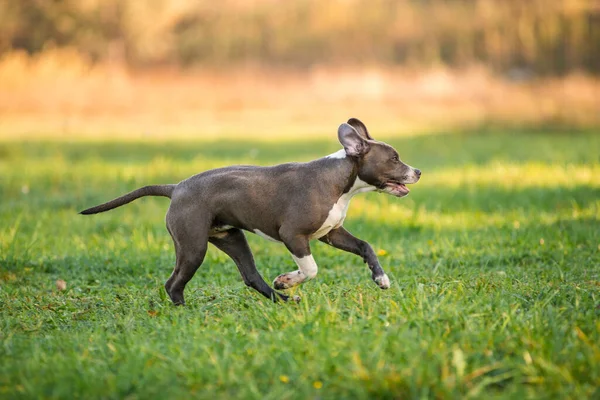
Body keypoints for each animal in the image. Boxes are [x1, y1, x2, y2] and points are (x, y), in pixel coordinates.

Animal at [81, 118, 422, 304]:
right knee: (173, 283)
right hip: (193, 247)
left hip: (232, 238)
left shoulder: (331, 233)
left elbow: (366, 246)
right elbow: (311, 269)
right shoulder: (294, 235)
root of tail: (176, 187)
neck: (341, 181)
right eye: (394, 158)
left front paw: (381, 278)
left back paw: (283, 301)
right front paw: (287, 279)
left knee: (251, 276)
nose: (417, 171)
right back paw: (184, 310)